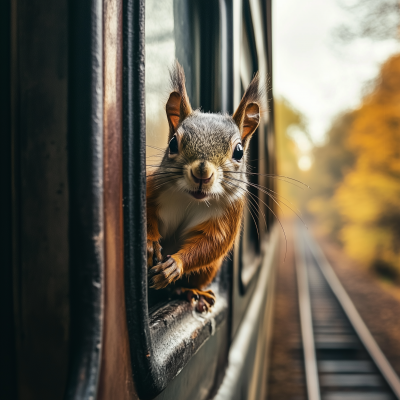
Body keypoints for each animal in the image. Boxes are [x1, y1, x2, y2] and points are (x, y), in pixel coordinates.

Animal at [147, 61, 262, 312]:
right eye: (173, 143)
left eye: (239, 151)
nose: (202, 172)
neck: (191, 198)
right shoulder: (153, 187)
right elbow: (146, 213)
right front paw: (150, 240)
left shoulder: (229, 214)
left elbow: (212, 244)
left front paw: (175, 265)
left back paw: (188, 291)